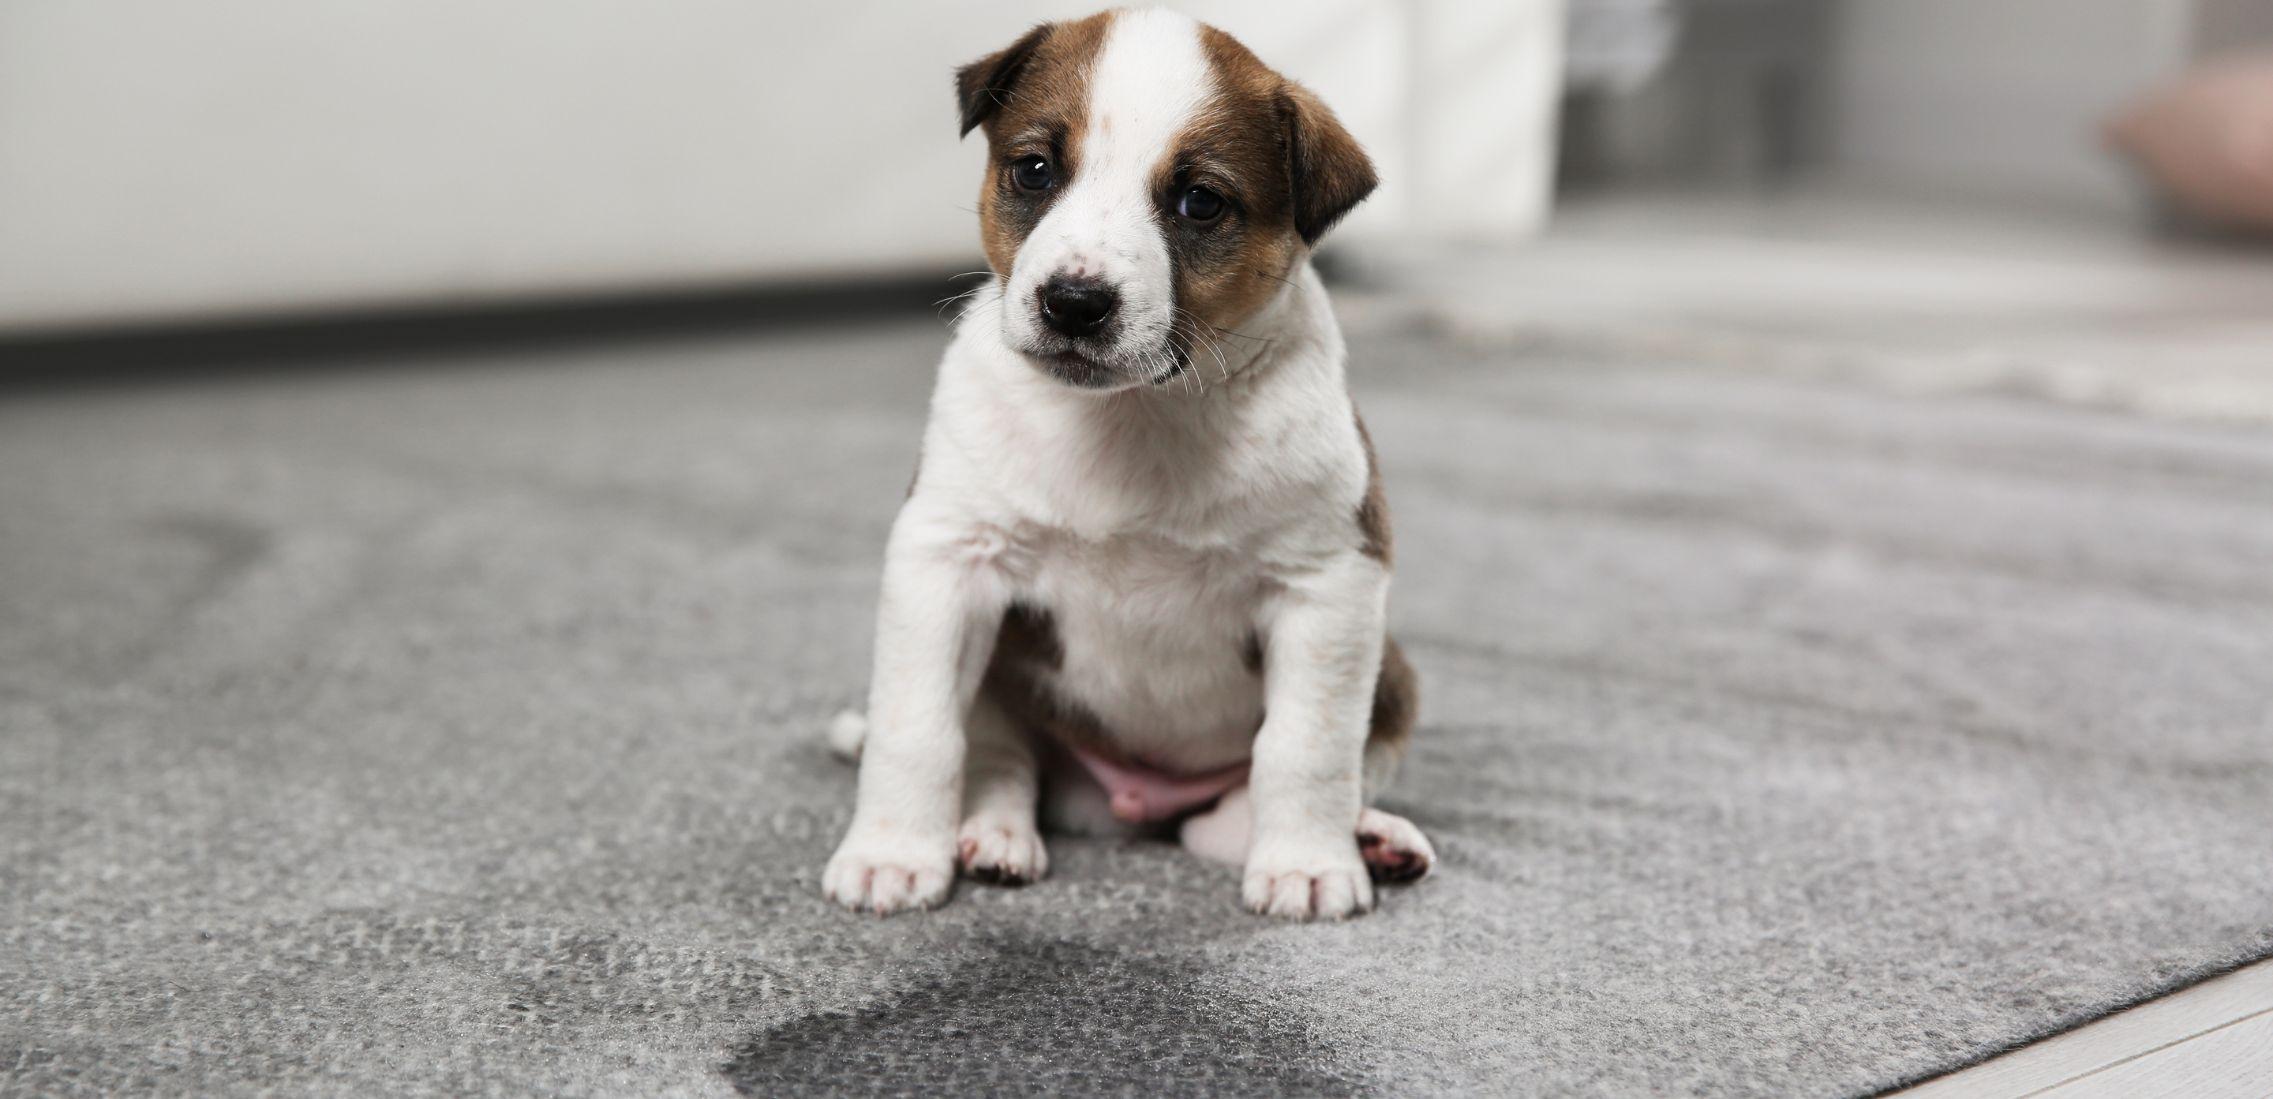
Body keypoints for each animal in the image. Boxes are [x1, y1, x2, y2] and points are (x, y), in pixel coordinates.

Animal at [818, 6, 1427, 917]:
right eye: (1034, 170)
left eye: (1199, 202)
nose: (1073, 302)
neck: (1131, 416)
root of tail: (1130, 800)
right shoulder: (946, 559)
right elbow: (916, 727)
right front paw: (891, 851)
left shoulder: (1329, 583)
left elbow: (1306, 746)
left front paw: (1309, 863)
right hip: (1001, 670)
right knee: (1000, 757)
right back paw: (993, 834)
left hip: (1390, 672)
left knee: (1238, 811)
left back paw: (1373, 838)